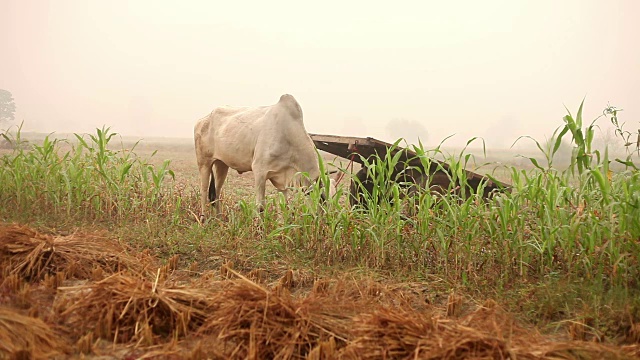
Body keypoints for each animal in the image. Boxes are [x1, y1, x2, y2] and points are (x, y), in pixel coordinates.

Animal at [194, 93, 330, 217]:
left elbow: (284, 207)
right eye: (321, 206)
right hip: (204, 163)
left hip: (222, 164)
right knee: (204, 191)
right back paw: (204, 219)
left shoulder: (282, 181)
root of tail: (202, 120)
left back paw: (219, 218)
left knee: (216, 192)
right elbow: (260, 206)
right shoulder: (260, 171)